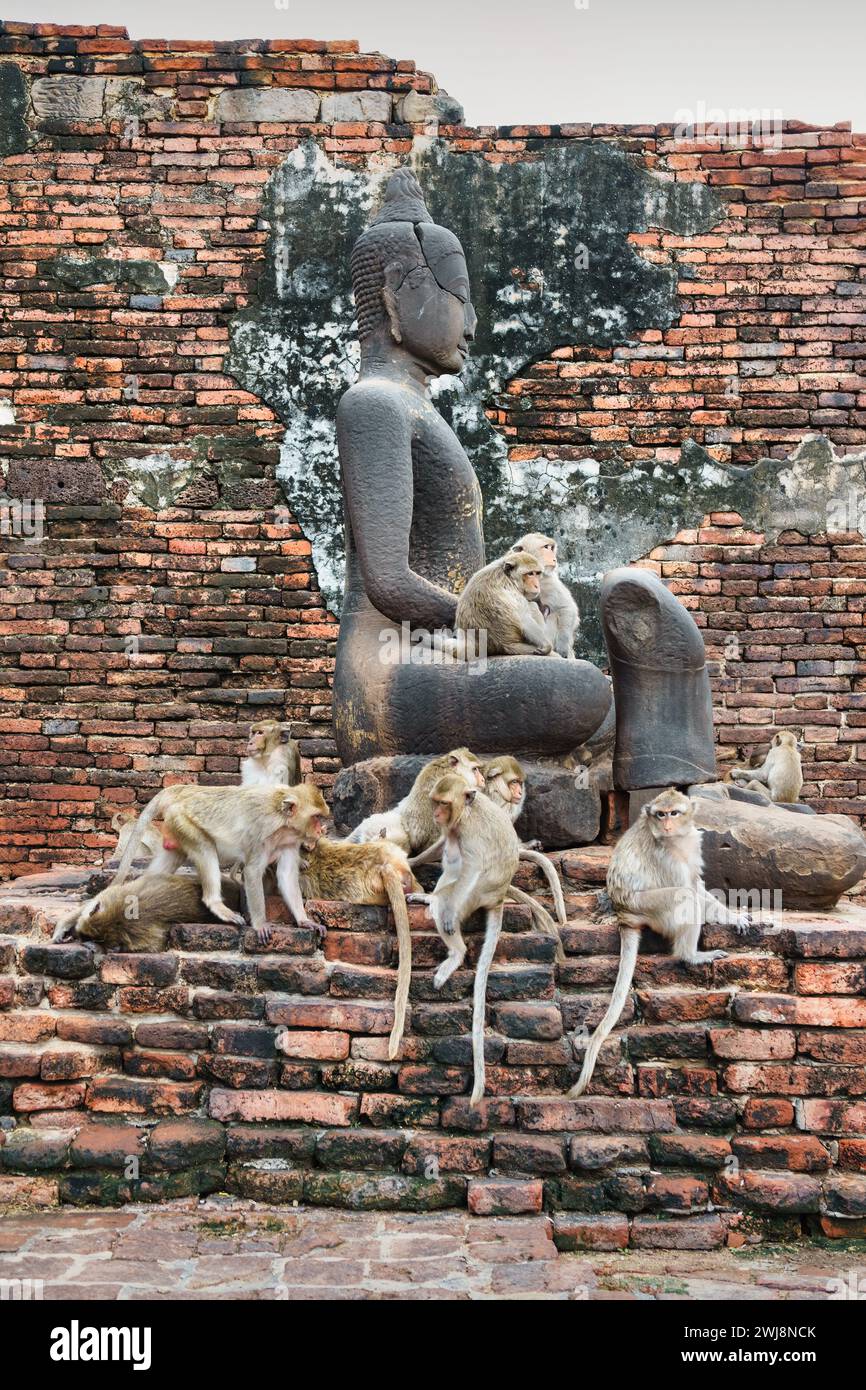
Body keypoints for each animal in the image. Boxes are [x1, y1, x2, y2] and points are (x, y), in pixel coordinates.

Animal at [113, 783, 330, 945]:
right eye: (316, 817)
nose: (320, 831)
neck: (283, 823)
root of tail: (184, 790)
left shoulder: (291, 841)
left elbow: (286, 875)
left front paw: (304, 920)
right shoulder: (259, 832)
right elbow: (252, 872)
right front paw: (260, 924)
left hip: (176, 828)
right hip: (184, 822)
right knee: (206, 849)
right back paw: (216, 904)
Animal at [408, 778, 522, 1100]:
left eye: (444, 803)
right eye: (435, 802)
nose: (436, 814)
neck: (464, 813)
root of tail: (499, 896)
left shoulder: (469, 831)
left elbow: (471, 865)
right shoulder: (452, 827)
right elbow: (443, 846)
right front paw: (410, 859)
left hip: (477, 894)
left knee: (453, 894)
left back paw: (455, 951)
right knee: (450, 858)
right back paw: (429, 898)